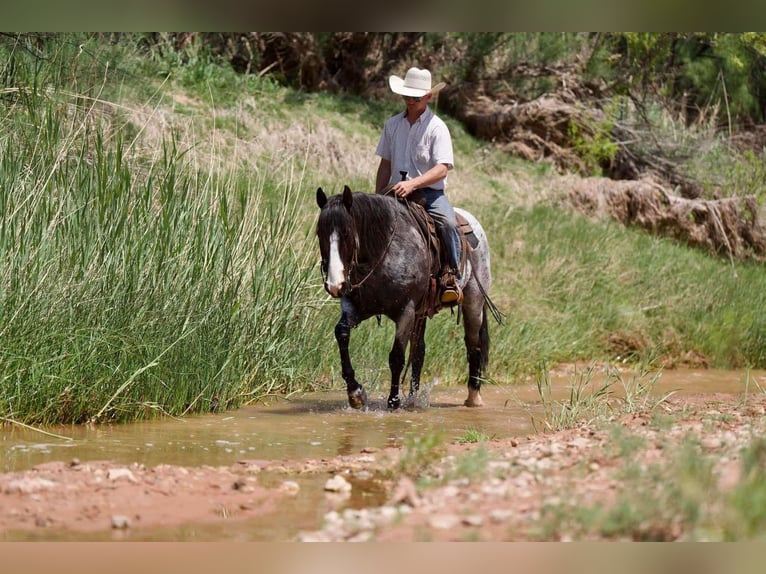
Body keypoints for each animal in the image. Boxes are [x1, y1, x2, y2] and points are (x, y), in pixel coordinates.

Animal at [316, 187, 500, 412]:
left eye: (347, 233)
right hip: (422, 313)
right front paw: (356, 393)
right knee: (419, 351)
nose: (335, 285)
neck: (383, 252)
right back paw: (413, 400)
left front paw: (393, 402)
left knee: (473, 346)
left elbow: (396, 356)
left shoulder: (406, 311)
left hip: (473, 302)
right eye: (320, 233)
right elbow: (342, 333)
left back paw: (473, 398)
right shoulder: (356, 307)